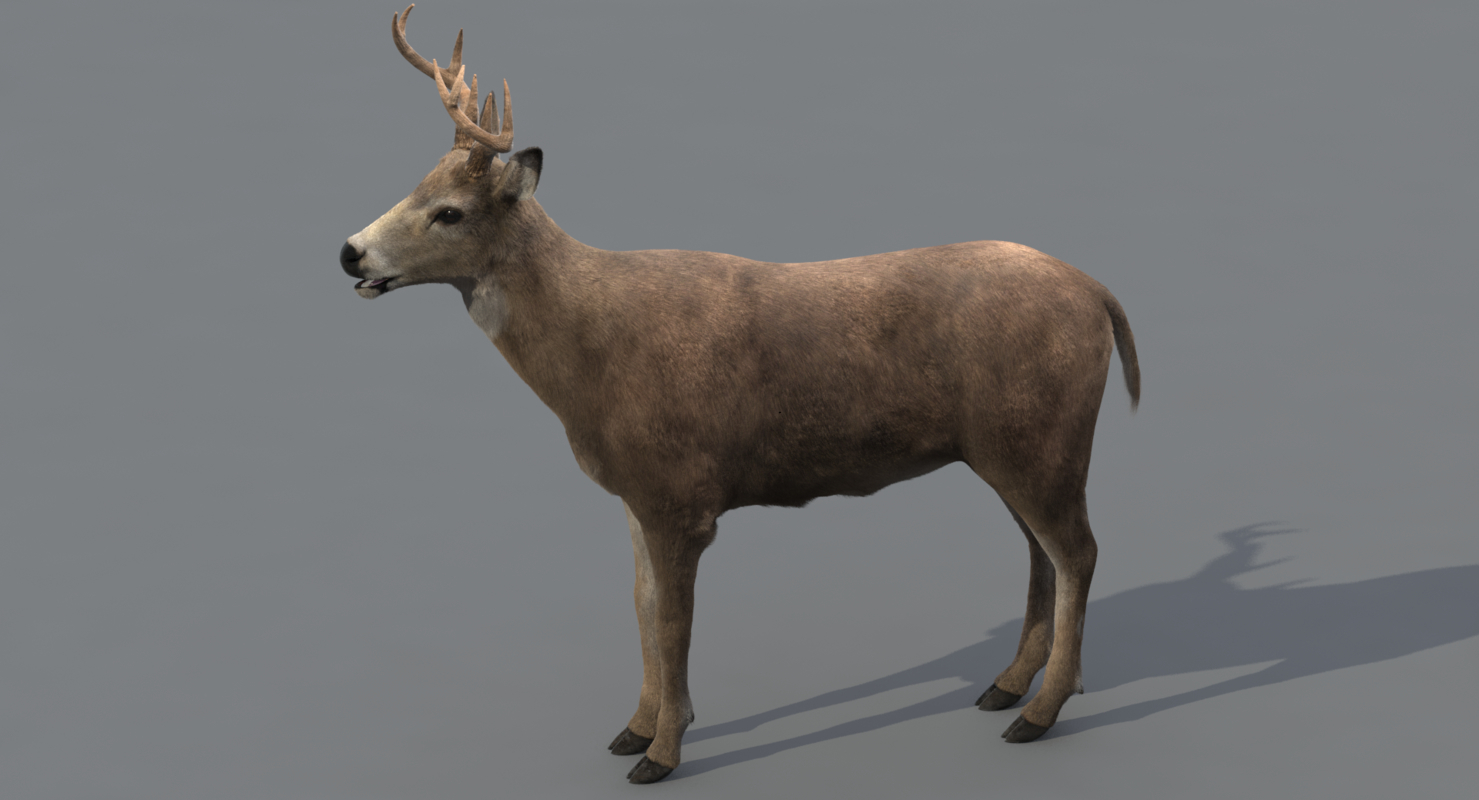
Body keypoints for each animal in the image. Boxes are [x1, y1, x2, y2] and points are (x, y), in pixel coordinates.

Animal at [340, 5, 1141, 785]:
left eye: (448, 211)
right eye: (414, 185)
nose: (350, 251)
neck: (591, 359)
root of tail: (1099, 292)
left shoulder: (682, 495)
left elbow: (673, 624)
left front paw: (662, 754)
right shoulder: (637, 494)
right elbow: (640, 607)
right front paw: (632, 731)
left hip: (1042, 439)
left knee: (1078, 551)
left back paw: (1038, 713)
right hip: (1007, 448)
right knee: (1040, 552)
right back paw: (1004, 687)